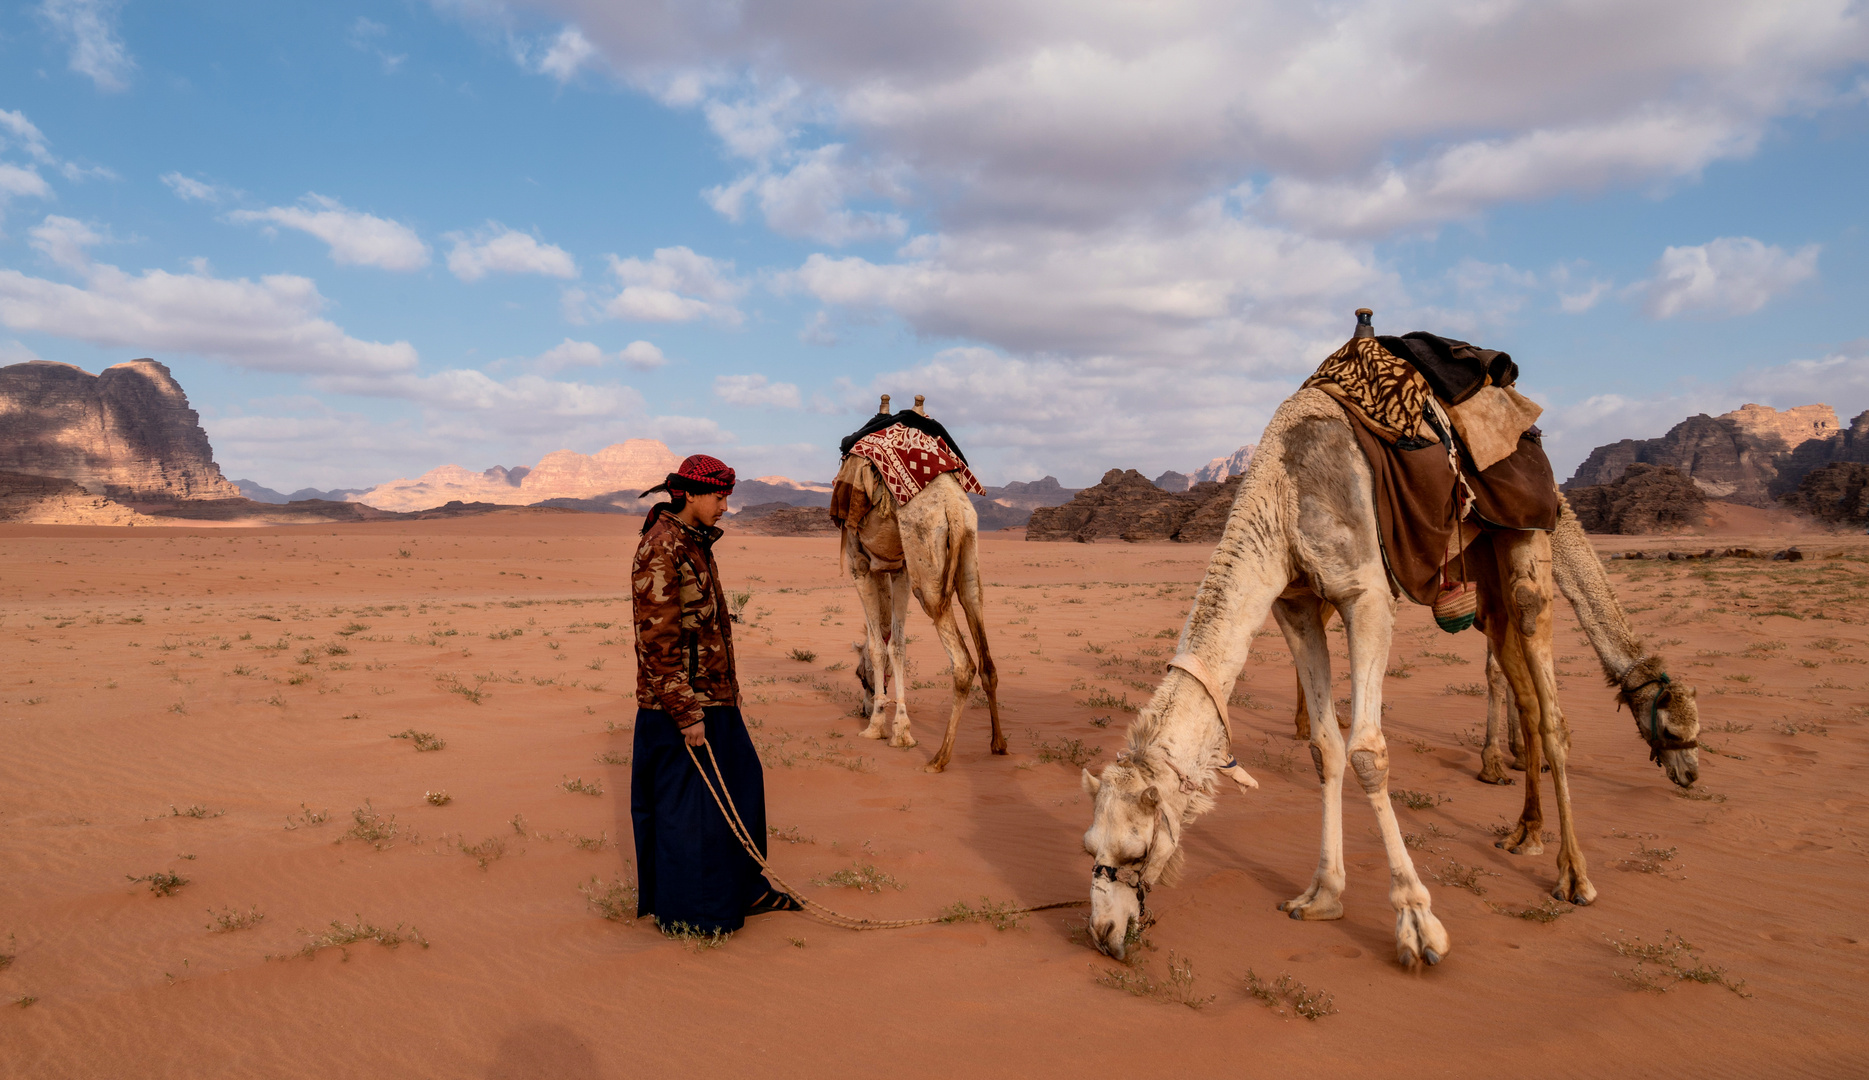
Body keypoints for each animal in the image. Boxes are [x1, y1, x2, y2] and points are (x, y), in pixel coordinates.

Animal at [837, 392, 1001, 766]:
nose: (861, 707)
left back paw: (939, 759)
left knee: (963, 664)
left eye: (859, 676)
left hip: (927, 578)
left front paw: (878, 726)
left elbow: (878, 645)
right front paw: (900, 730)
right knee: (984, 648)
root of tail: (952, 508)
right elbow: (897, 644)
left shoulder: (860, 565)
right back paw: (998, 743)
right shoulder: (899, 567)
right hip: (967, 559)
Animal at [1084, 383, 1592, 964]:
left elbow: (1367, 753)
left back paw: (1573, 876)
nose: (1102, 932)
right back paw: (1525, 834)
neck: (1282, 494)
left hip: (1524, 530)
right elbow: (1325, 749)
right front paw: (1322, 895)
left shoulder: (1366, 594)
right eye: (1090, 845)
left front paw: (1418, 923)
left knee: (1545, 682)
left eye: (1137, 850)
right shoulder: (1295, 604)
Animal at [1293, 500, 1704, 784]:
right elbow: (1495, 672)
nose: (1690, 776)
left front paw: (1520, 754)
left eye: (1697, 729)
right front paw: (1493, 764)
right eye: (1672, 730)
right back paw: (1307, 726)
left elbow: (1507, 671)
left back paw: (1314, 723)